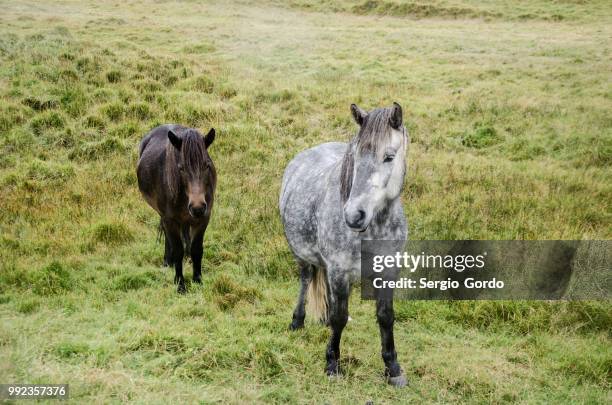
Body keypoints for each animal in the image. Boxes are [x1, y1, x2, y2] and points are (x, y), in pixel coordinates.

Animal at [280, 102, 408, 386]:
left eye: (389, 156)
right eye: (355, 156)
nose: (353, 215)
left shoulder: (388, 271)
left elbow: (386, 317)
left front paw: (393, 368)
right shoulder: (339, 270)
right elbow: (339, 317)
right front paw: (332, 364)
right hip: (304, 257)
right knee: (306, 281)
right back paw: (297, 321)